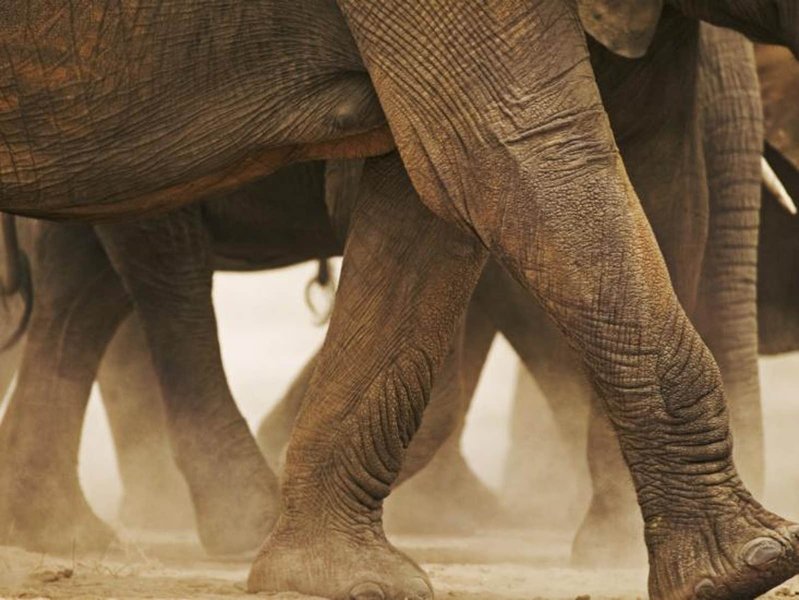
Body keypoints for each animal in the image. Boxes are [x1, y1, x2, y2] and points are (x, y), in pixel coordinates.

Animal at [2, 2, 799, 599]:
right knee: (155, 259)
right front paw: (751, 563)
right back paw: (231, 517)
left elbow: (437, 204)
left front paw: (338, 580)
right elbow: (509, 158)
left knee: (89, 275)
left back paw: (69, 529)